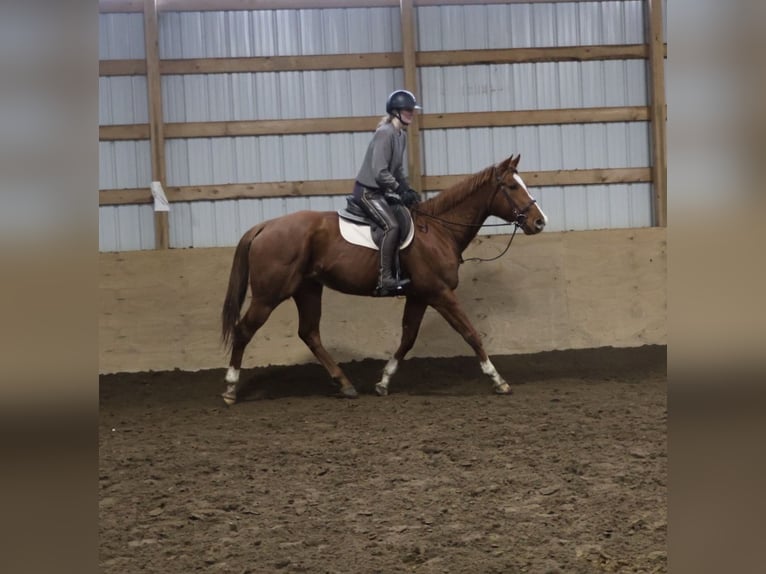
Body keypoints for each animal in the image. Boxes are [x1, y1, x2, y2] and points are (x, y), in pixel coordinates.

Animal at [220, 154, 547, 404]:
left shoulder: (419, 295)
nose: (539, 222)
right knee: (244, 330)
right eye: (511, 186)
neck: (439, 231)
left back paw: (345, 384)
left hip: (308, 290)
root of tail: (265, 226)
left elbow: (408, 338)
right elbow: (470, 333)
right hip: (269, 295)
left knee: (310, 333)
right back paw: (230, 388)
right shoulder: (440, 293)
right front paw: (498, 379)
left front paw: (384, 382)